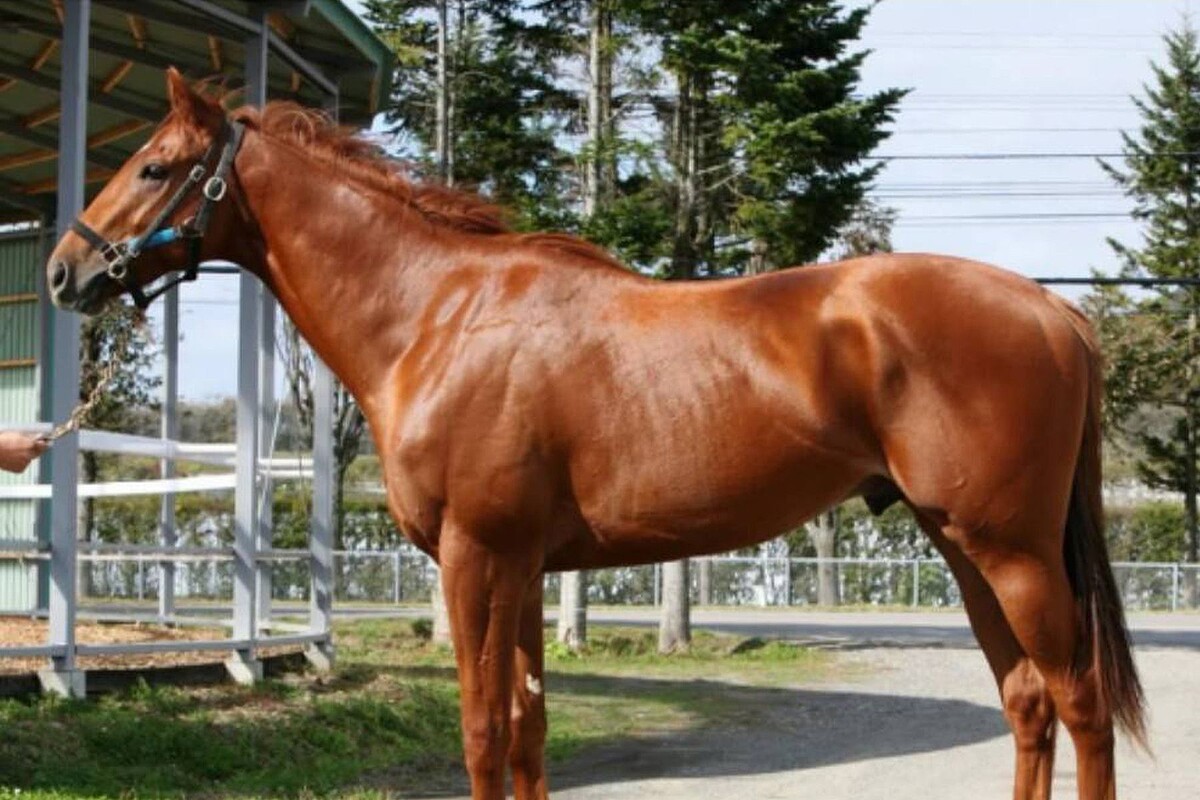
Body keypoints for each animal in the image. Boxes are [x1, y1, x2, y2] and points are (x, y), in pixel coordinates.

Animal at [48, 69, 1144, 800]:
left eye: (153, 166)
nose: (65, 270)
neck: (436, 314)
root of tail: (1056, 310)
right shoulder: (525, 563)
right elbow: (529, 726)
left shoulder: (475, 555)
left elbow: (484, 728)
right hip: (965, 546)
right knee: (1030, 701)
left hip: (1010, 551)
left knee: (1080, 702)